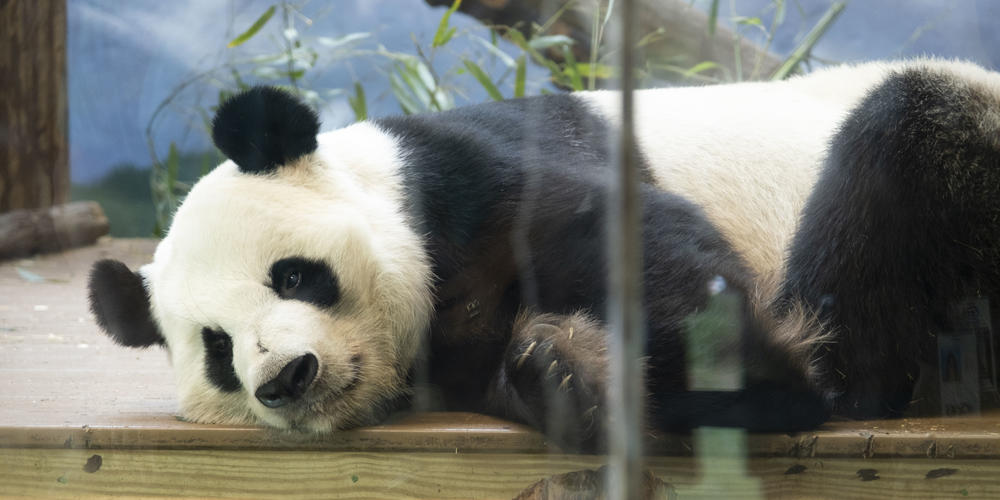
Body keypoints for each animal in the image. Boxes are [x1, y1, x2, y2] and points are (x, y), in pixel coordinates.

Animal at [84, 57, 1000, 450]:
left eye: (296, 275)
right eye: (217, 350)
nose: (285, 378)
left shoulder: (479, 173)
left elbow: (629, 230)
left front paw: (752, 370)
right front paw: (558, 374)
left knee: (902, 135)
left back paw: (833, 371)